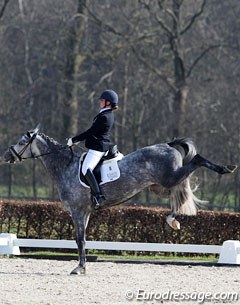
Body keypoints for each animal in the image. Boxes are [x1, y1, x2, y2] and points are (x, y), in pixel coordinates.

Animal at [2, 126, 237, 274]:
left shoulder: (77, 211)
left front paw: (79, 268)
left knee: (196, 161)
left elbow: (79, 240)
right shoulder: (85, 212)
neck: (65, 167)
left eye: (22, 142)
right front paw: (83, 266)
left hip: (169, 178)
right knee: (176, 197)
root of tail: (168, 145)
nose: (6, 156)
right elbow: (83, 240)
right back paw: (172, 220)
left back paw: (226, 168)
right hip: (159, 186)